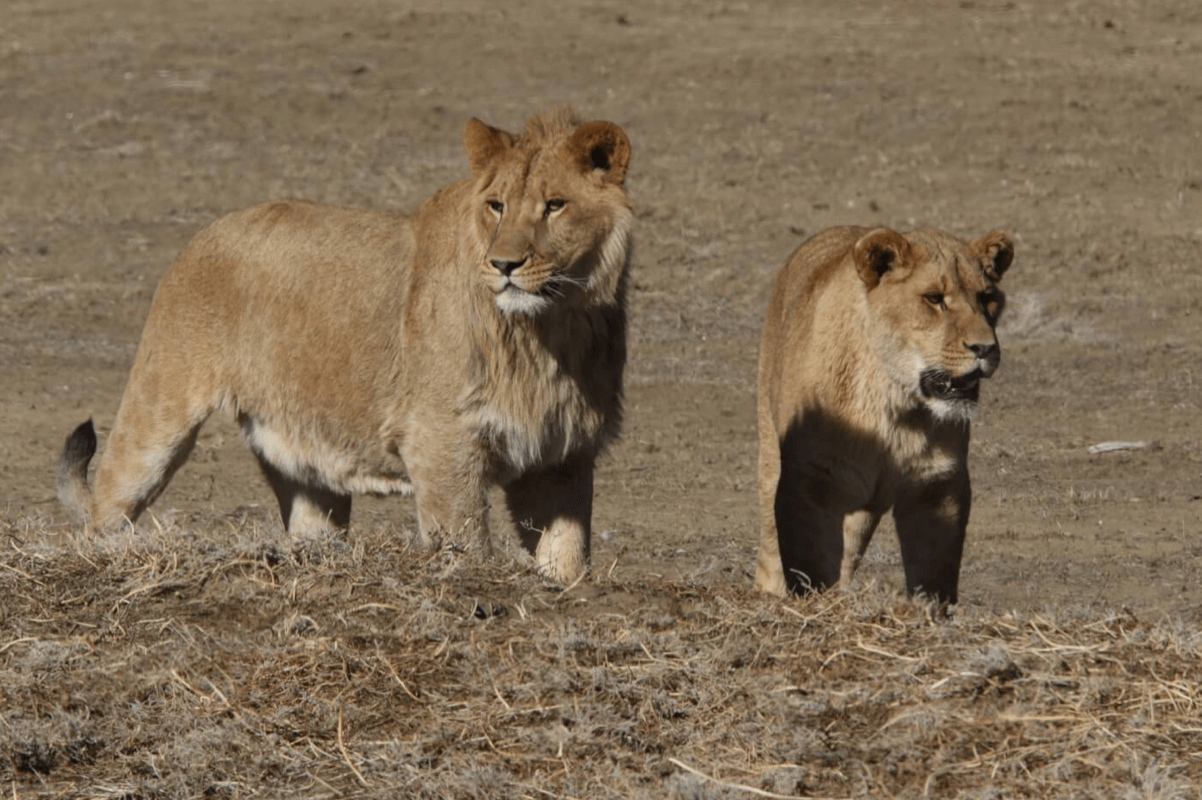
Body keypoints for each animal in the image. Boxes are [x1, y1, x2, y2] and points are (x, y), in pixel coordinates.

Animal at [56, 107, 634, 578]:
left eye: (555, 206)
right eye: (496, 205)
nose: (504, 264)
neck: (548, 329)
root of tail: (205, 233)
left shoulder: (563, 454)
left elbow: (569, 555)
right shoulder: (440, 444)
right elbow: (467, 543)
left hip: (302, 459)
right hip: (158, 412)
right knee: (106, 504)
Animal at [759, 222, 1014, 598]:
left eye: (986, 298)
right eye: (934, 299)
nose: (985, 348)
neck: (896, 403)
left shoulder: (939, 484)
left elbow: (935, 575)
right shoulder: (810, 480)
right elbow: (811, 567)